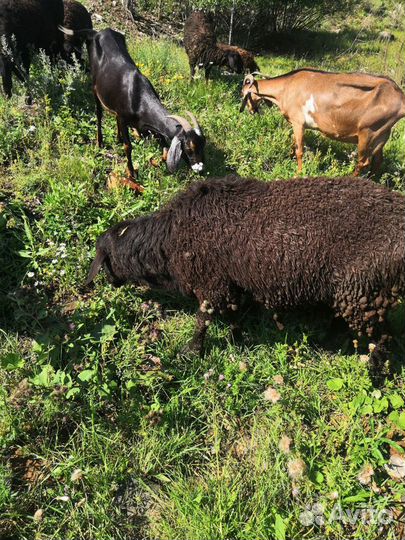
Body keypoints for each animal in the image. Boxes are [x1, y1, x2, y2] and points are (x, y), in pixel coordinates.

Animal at [57, 26, 205, 178]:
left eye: (202, 145)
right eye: (189, 148)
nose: (200, 170)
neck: (138, 99)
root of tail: (98, 32)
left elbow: (163, 145)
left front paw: (156, 161)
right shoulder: (123, 118)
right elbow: (128, 146)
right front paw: (131, 171)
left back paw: (118, 138)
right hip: (95, 87)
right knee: (98, 114)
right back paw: (100, 142)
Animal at [85, 175, 404, 378]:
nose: (111, 283)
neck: (167, 240)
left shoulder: (211, 284)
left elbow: (203, 321)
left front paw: (191, 352)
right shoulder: (229, 286)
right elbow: (232, 316)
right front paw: (235, 339)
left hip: (363, 291)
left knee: (384, 337)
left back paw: (375, 373)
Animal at [240, 68, 404, 175]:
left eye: (243, 93)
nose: (251, 110)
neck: (286, 87)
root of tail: (400, 98)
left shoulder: (298, 122)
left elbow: (300, 150)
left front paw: (298, 173)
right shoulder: (295, 124)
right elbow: (294, 145)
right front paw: (288, 158)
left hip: (367, 132)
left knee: (363, 162)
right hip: (382, 134)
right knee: (378, 161)